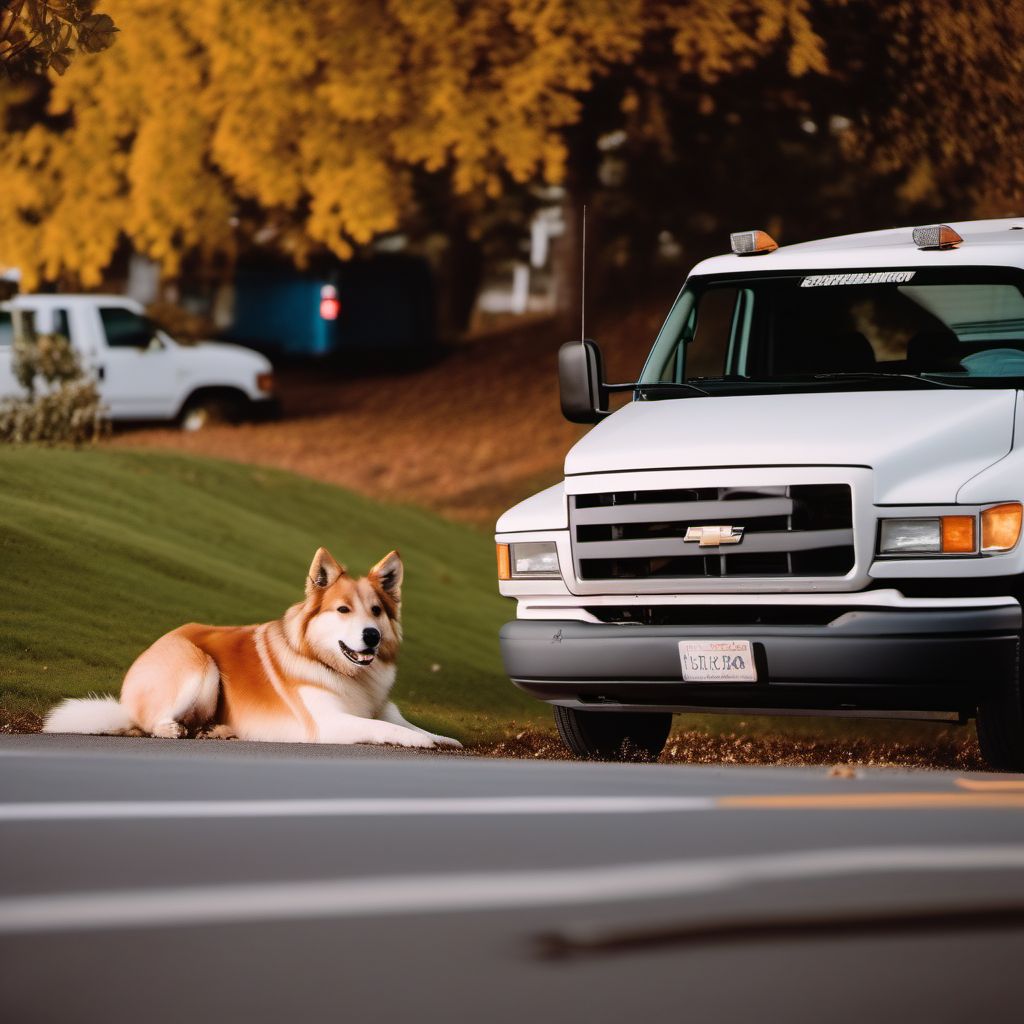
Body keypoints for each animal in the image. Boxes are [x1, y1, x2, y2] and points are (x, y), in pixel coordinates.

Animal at [43, 548, 460, 749]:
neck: (336, 668)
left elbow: (404, 724)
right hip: (202, 668)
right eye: (343, 610)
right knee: (149, 724)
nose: (372, 635)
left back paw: (216, 731)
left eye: (376, 611)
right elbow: (386, 729)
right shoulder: (329, 723)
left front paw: (444, 739)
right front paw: (423, 742)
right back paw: (177, 730)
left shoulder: (383, 708)